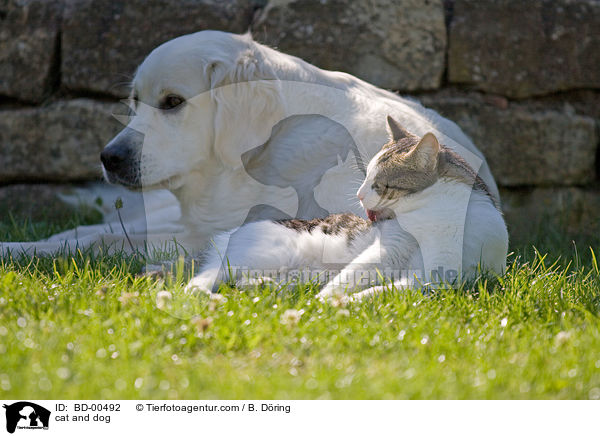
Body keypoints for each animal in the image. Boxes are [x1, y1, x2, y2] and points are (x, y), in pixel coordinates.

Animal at [3, 30, 502, 270]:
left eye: (173, 102)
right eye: (134, 101)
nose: (110, 158)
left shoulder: (205, 234)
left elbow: (101, 243)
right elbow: (87, 236)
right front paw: (23, 244)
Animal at [184, 116, 506, 298]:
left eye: (381, 184)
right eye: (365, 177)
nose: (360, 196)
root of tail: (229, 234)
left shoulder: (435, 279)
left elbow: (381, 291)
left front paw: (346, 304)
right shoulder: (390, 248)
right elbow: (351, 278)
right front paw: (326, 304)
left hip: (291, 272)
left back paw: (258, 287)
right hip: (264, 253)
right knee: (206, 276)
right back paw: (201, 296)